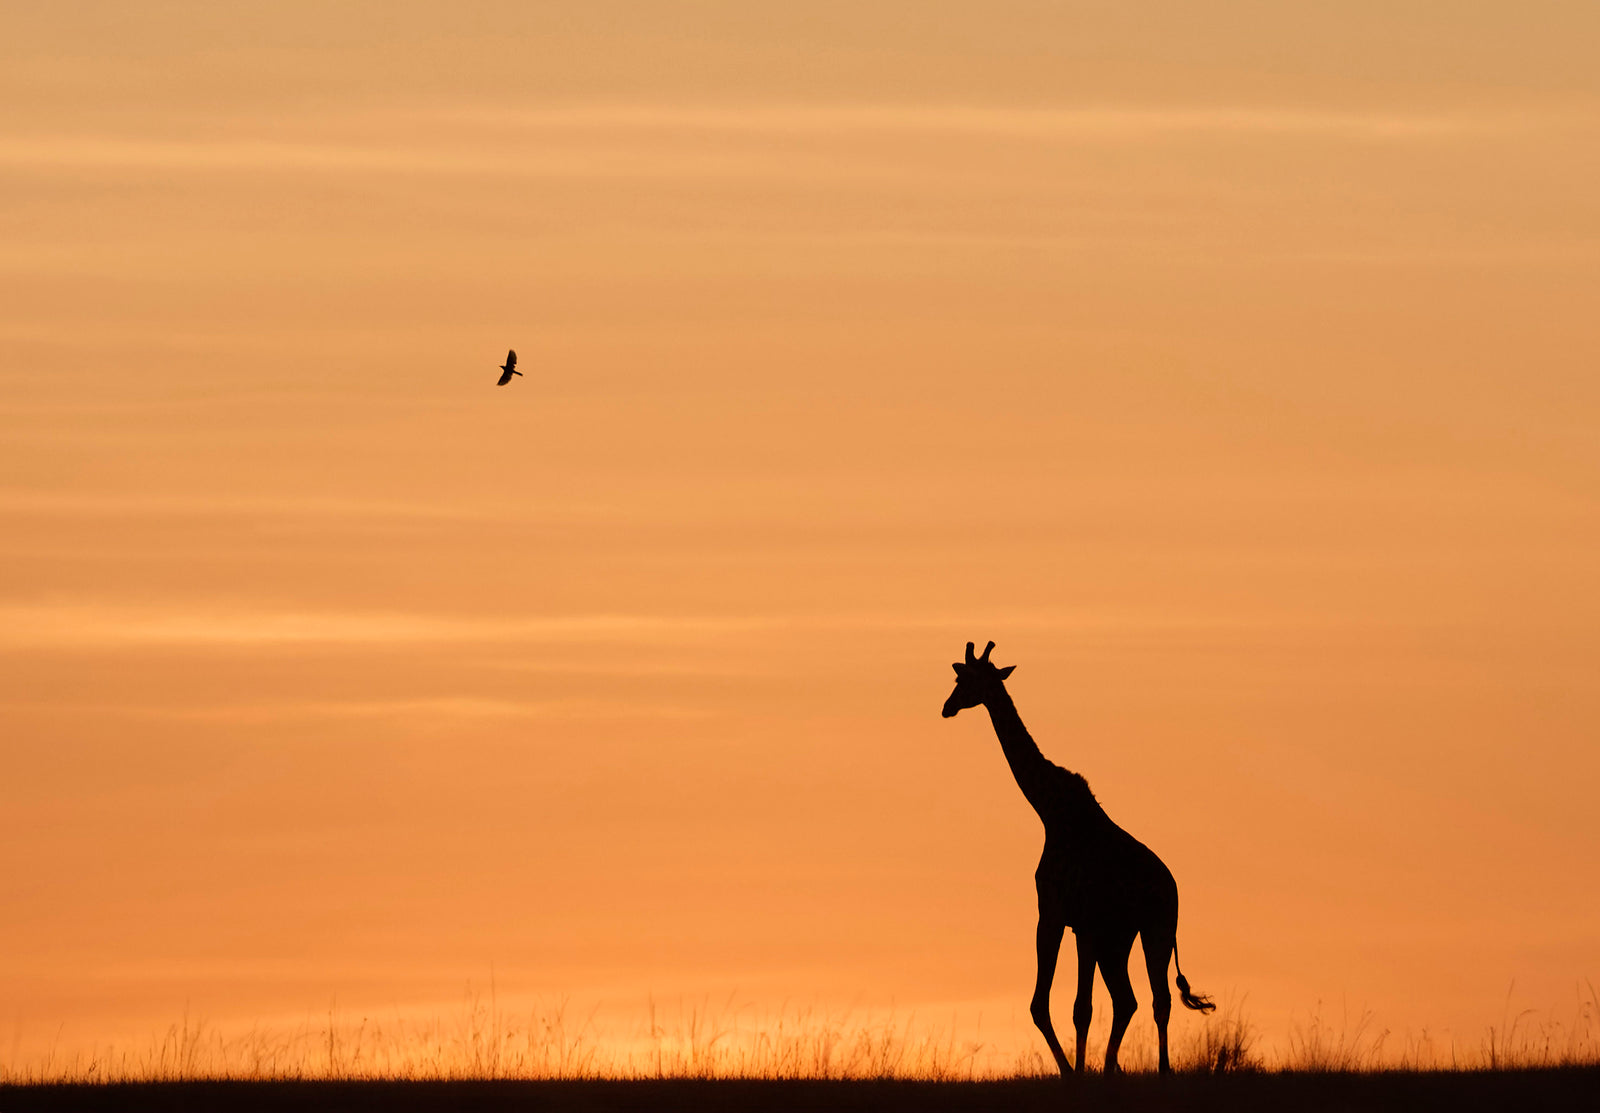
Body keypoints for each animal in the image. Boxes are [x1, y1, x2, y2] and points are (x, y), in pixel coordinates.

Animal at [942, 640, 1214, 1074]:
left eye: (965, 680)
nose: (947, 707)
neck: (1050, 812)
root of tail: (1172, 886)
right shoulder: (1084, 926)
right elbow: (1080, 1008)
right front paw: (1085, 1070)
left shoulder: (1053, 914)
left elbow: (1044, 1005)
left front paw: (1071, 1071)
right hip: (1121, 936)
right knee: (1130, 999)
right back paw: (1113, 1067)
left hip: (1156, 928)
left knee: (1159, 999)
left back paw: (1162, 1068)